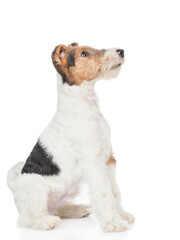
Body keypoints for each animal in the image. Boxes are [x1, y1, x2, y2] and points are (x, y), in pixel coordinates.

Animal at [7, 42, 134, 232]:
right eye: (84, 53)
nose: (121, 51)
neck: (84, 103)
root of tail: (14, 185)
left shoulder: (108, 158)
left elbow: (115, 192)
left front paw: (123, 215)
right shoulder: (93, 163)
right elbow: (105, 194)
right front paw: (114, 223)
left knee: (56, 208)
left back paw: (78, 210)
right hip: (36, 191)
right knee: (26, 218)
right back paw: (46, 222)